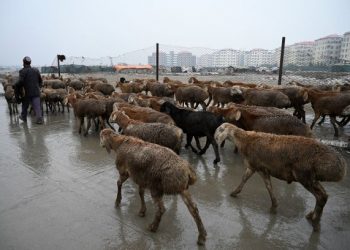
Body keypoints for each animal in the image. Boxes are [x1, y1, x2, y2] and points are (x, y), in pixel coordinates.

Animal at [215, 123, 346, 232]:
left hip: (304, 175)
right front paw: (274, 205)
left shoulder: (256, 167)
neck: (244, 140)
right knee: (323, 195)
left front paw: (234, 192)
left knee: (321, 197)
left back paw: (315, 222)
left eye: (218, 131)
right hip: (311, 178)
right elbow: (261, 184)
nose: (215, 140)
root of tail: (340, 166)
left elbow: (253, 181)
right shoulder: (260, 169)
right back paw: (312, 215)